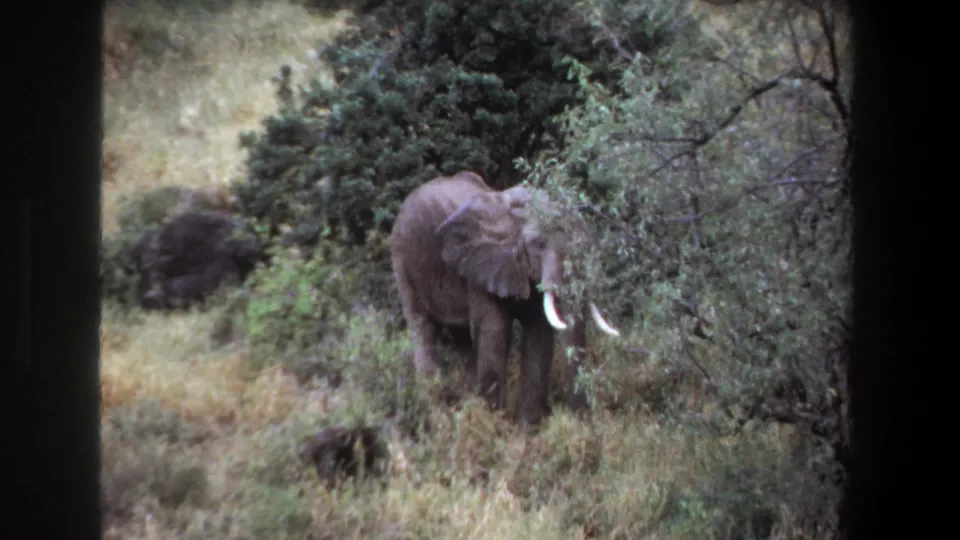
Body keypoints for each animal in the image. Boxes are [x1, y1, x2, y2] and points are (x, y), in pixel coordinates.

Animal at [390, 170, 621, 425]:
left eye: (587, 243)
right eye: (539, 244)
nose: (578, 417)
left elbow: (539, 334)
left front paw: (527, 427)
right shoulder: (478, 267)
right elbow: (495, 331)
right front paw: (493, 422)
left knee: (463, 340)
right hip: (403, 258)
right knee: (422, 326)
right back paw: (433, 404)